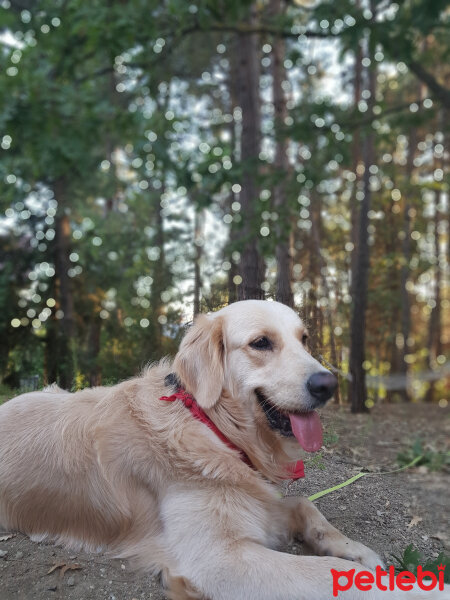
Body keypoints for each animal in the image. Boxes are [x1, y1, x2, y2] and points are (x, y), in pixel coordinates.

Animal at [0, 302, 446, 596]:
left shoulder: (258, 503)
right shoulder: (219, 559)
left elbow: (306, 506)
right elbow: (329, 575)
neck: (212, 426)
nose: (328, 385)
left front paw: (355, 551)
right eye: (261, 343)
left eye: (304, 339)